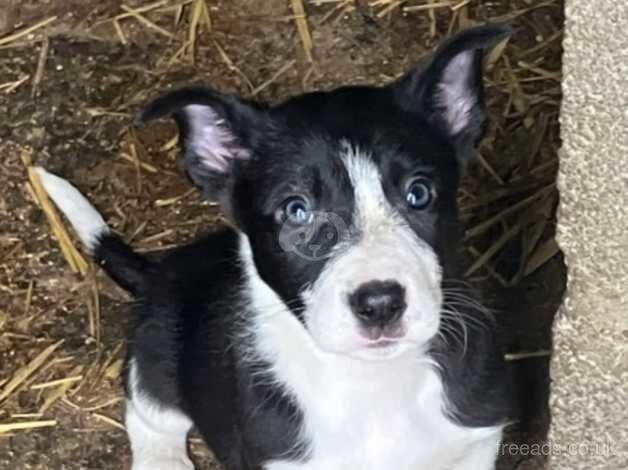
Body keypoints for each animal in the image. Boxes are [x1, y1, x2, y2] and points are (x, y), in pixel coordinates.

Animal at [39, 24, 516, 470]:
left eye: (419, 194)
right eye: (296, 211)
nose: (380, 303)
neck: (372, 382)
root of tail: (157, 272)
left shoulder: (476, 443)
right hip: (158, 356)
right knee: (148, 412)